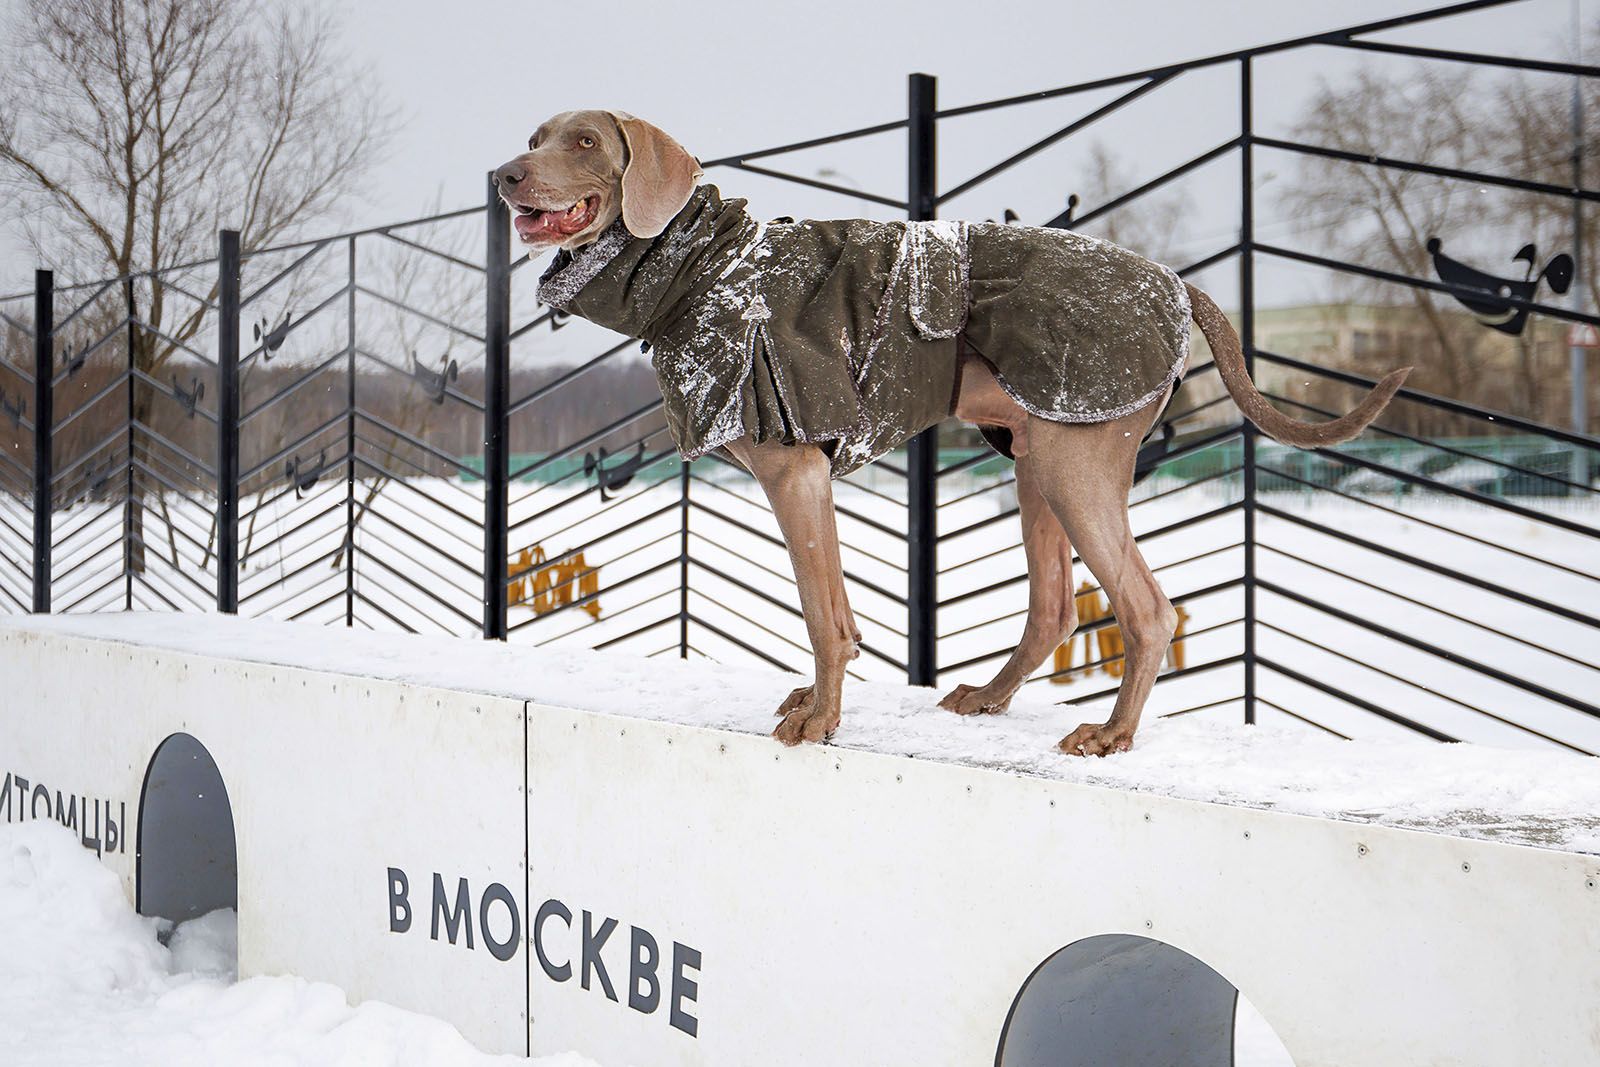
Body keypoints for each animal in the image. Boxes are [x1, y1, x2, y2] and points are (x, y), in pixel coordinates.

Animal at [489, 112, 1414, 755]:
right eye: (534, 137)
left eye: (584, 140)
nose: (502, 173)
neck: (705, 264)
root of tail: (1179, 285)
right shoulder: (810, 479)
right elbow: (840, 613)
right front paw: (817, 702)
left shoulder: (796, 471)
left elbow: (822, 615)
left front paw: (821, 720)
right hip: (1041, 457)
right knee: (1053, 608)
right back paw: (991, 698)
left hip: (1076, 460)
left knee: (1147, 607)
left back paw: (1112, 734)